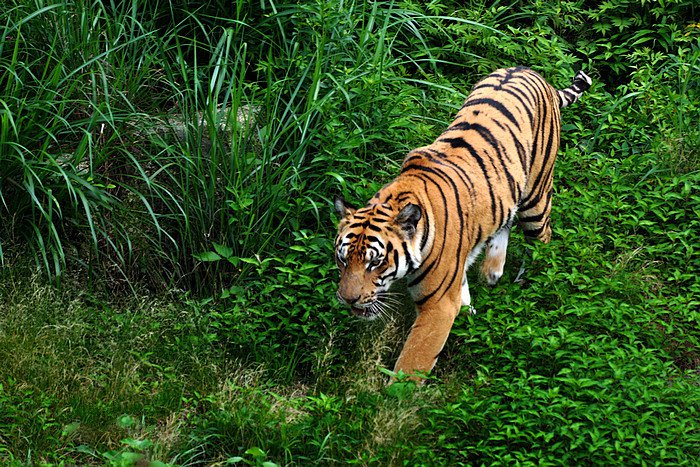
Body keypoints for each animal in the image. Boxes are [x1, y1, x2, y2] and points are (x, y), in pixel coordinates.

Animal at [334, 66, 592, 380]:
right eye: (343, 259)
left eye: (376, 262)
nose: (348, 300)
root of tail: (534, 74)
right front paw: (469, 312)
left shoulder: (438, 307)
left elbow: (412, 364)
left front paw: (394, 391)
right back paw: (492, 270)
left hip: (537, 197)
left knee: (542, 240)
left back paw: (531, 283)